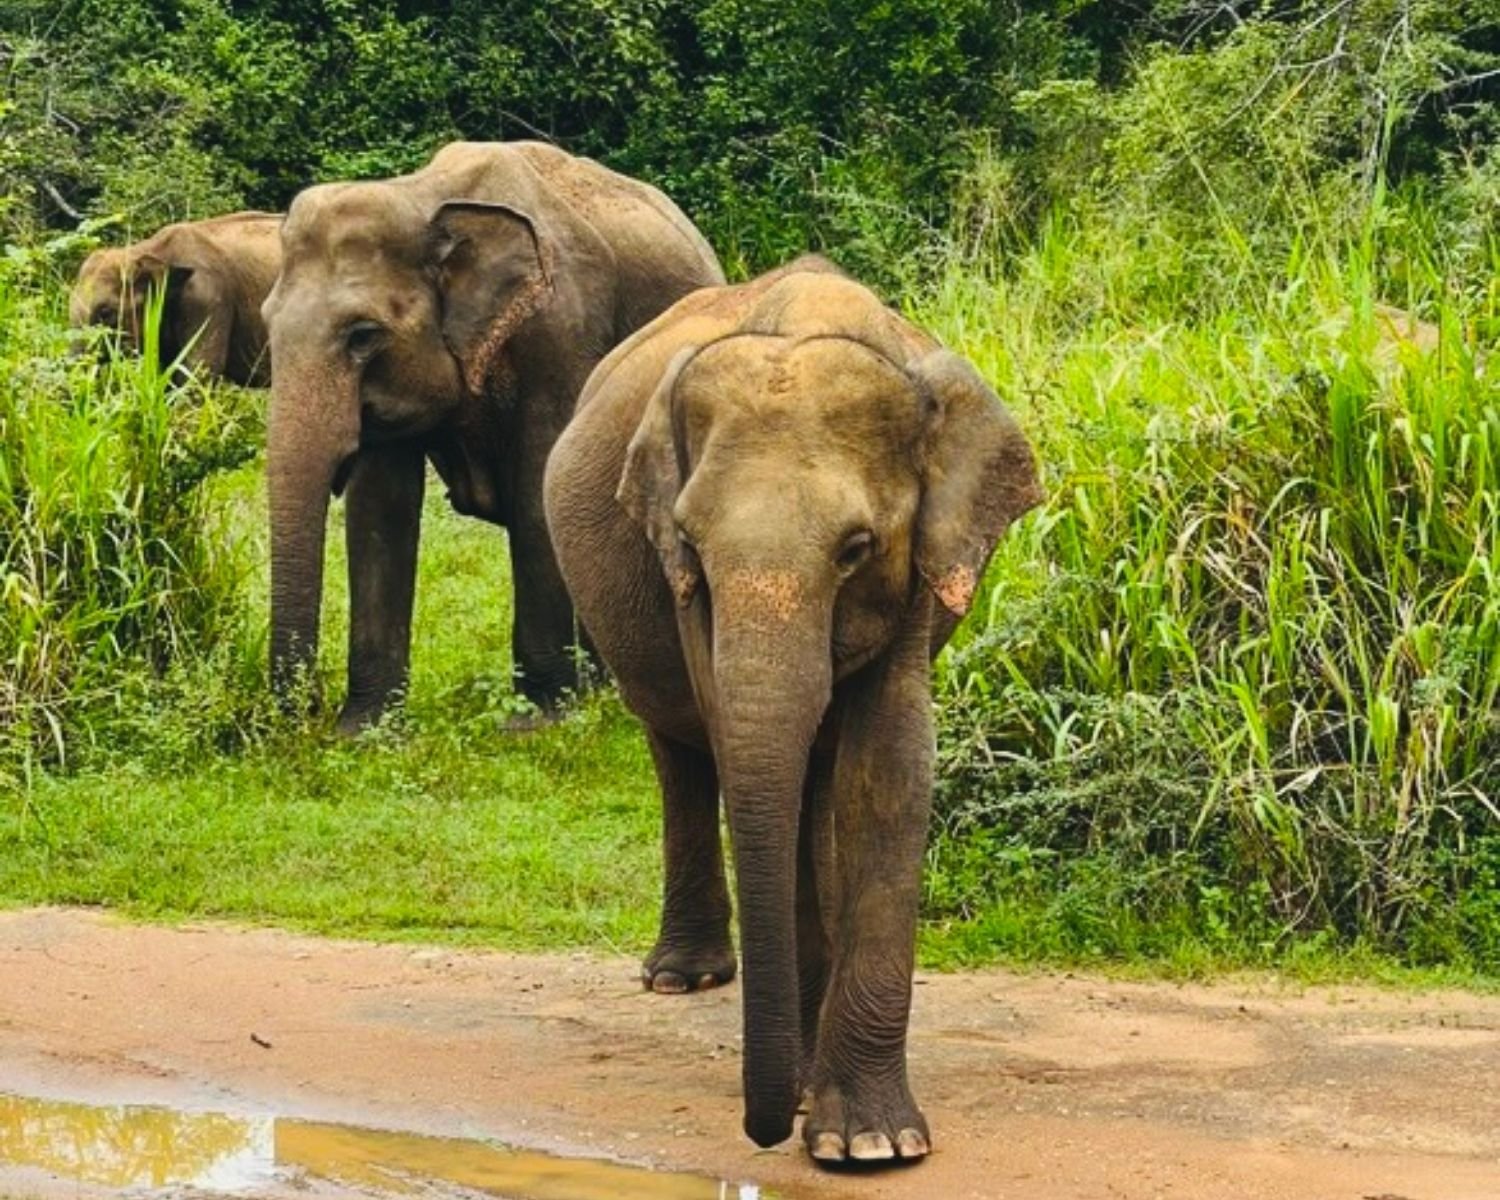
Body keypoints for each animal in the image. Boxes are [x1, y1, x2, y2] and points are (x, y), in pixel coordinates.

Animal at [261, 140, 723, 732]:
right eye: (266, 324)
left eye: (362, 335)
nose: (306, 711)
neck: (422, 195)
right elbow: (380, 507)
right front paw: (364, 731)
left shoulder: (560, 332)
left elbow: (538, 488)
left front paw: (537, 722)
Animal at [544, 257, 1043, 1163]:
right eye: (692, 547)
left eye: (856, 550)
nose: (765, 1132)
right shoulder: (681, 582)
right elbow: (742, 738)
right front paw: (827, 1108)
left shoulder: (921, 561)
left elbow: (888, 765)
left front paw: (872, 1144)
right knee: (681, 750)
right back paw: (683, 978)